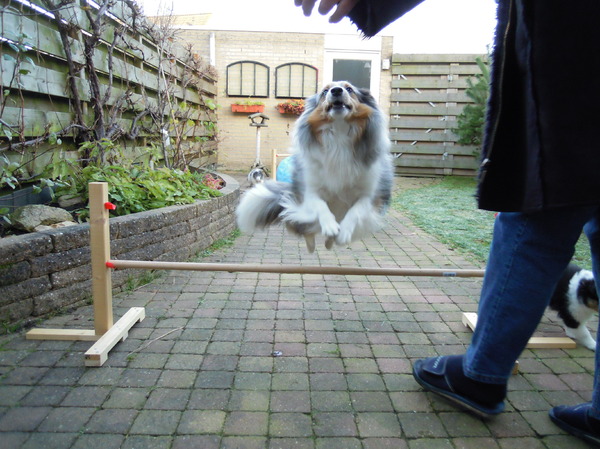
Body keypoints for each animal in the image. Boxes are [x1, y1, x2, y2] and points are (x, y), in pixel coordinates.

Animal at [234, 81, 394, 252]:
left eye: (349, 89)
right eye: (324, 91)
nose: (336, 90)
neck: (339, 135)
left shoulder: (370, 195)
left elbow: (355, 211)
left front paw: (343, 233)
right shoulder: (310, 190)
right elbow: (321, 205)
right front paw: (330, 226)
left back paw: (331, 241)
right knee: (304, 229)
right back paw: (314, 244)